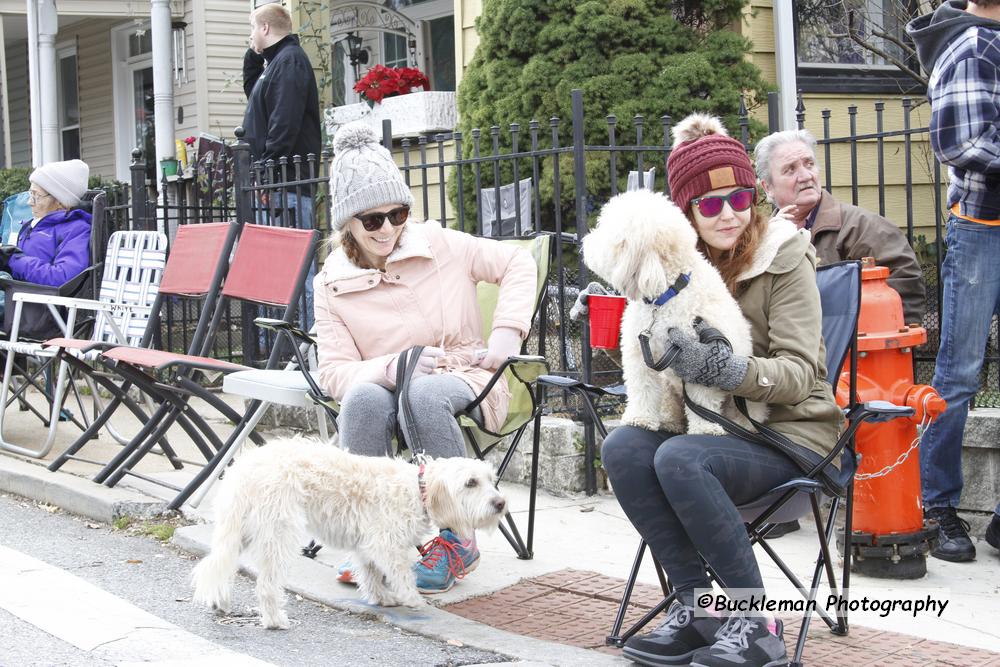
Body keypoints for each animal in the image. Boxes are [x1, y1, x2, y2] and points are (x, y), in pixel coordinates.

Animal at [190, 438, 504, 632]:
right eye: (471, 483)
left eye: (492, 480)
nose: (501, 503)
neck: (417, 489)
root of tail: (244, 469)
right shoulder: (385, 543)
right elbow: (401, 572)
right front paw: (412, 599)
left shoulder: (367, 544)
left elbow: (371, 572)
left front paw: (381, 597)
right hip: (278, 534)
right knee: (266, 584)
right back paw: (275, 619)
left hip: (239, 530)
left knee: (219, 564)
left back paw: (220, 600)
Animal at [584, 190, 760, 436]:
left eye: (607, 231)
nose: (585, 242)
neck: (666, 295)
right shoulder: (640, 354)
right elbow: (642, 387)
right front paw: (639, 418)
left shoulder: (700, 359)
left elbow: (703, 396)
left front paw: (705, 428)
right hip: (668, 385)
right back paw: (669, 421)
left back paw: (742, 427)